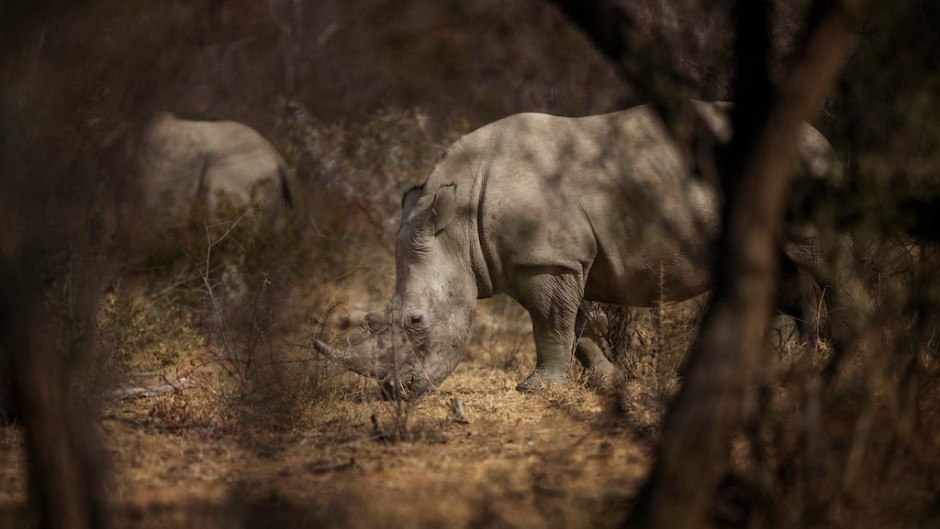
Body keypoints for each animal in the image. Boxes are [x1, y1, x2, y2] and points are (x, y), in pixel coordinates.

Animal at [317, 101, 849, 396]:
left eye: (416, 320)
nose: (393, 393)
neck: (459, 222)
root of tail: (821, 137)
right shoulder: (543, 260)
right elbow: (576, 325)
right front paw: (607, 381)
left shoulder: (547, 259)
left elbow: (550, 322)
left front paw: (535, 390)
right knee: (782, 273)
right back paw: (777, 365)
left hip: (806, 173)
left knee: (820, 261)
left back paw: (848, 349)